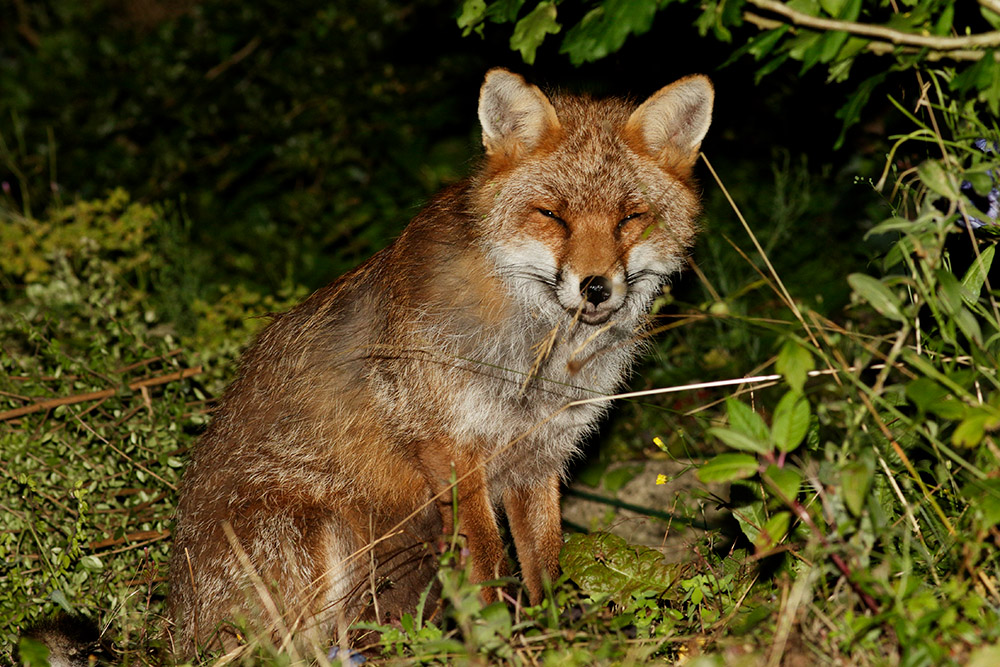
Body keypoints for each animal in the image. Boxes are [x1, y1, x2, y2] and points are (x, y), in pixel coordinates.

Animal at [167, 68, 713, 656]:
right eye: (552, 216)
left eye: (631, 218)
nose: (595, 288)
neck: (533, 368)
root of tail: (173, 623)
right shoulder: (449, 446)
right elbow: (488, 557)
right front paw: (496, 640)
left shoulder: (539, 456)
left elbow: (546, 559)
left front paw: (552, 635)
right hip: (322, 539)